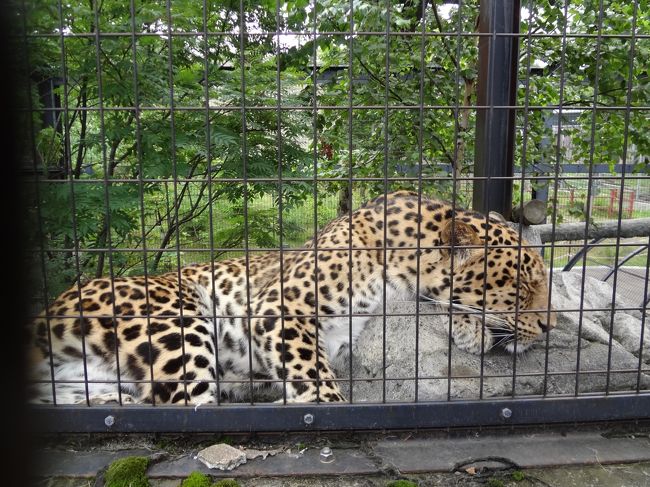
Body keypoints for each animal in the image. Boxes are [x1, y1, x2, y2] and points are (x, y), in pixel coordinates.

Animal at [26, 193, 552, 406]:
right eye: (523, 287)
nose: (550, 327)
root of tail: (42, 315)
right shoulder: (277, 310)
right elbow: (315, 380)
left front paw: (473, 330)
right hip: (179, 319)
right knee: (186, 403)